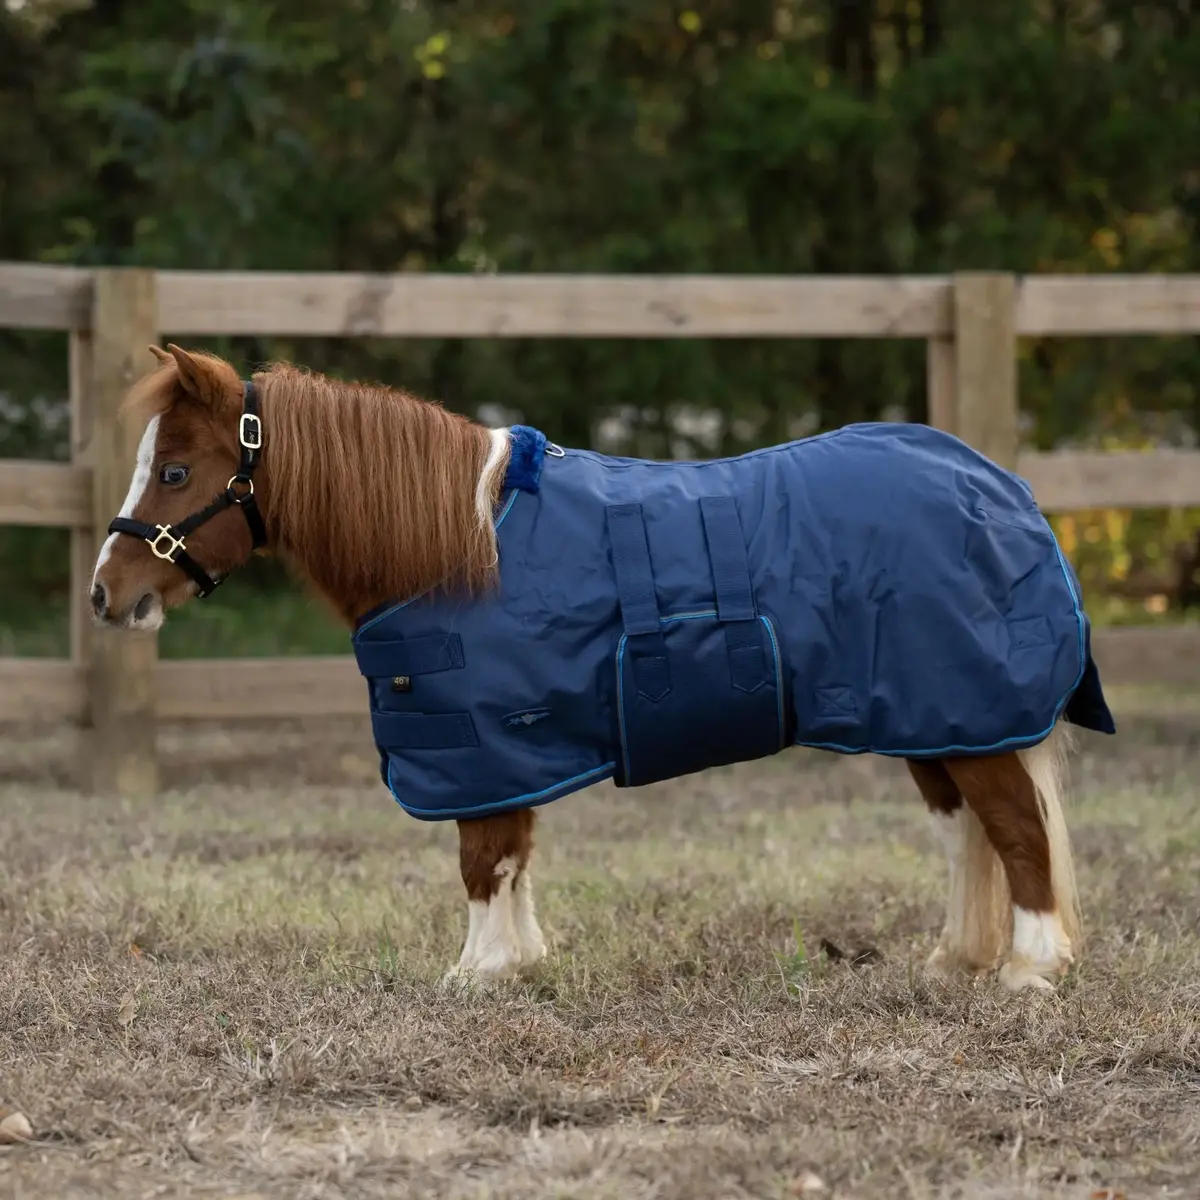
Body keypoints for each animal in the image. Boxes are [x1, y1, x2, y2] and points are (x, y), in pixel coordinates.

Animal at [90, 344, 1115, 992]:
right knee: (966, 833)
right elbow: (512, 852)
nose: (106, 593)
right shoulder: (511, 744)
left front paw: (477, 972)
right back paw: (957, 961)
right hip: (933, 719)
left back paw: (1028, 971)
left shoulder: (486, 740)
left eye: (175, 473)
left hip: (968, 712)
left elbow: (483, 856)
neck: (458, 545)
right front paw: (517, 962)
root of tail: (999, 488)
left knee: (1017, 830)